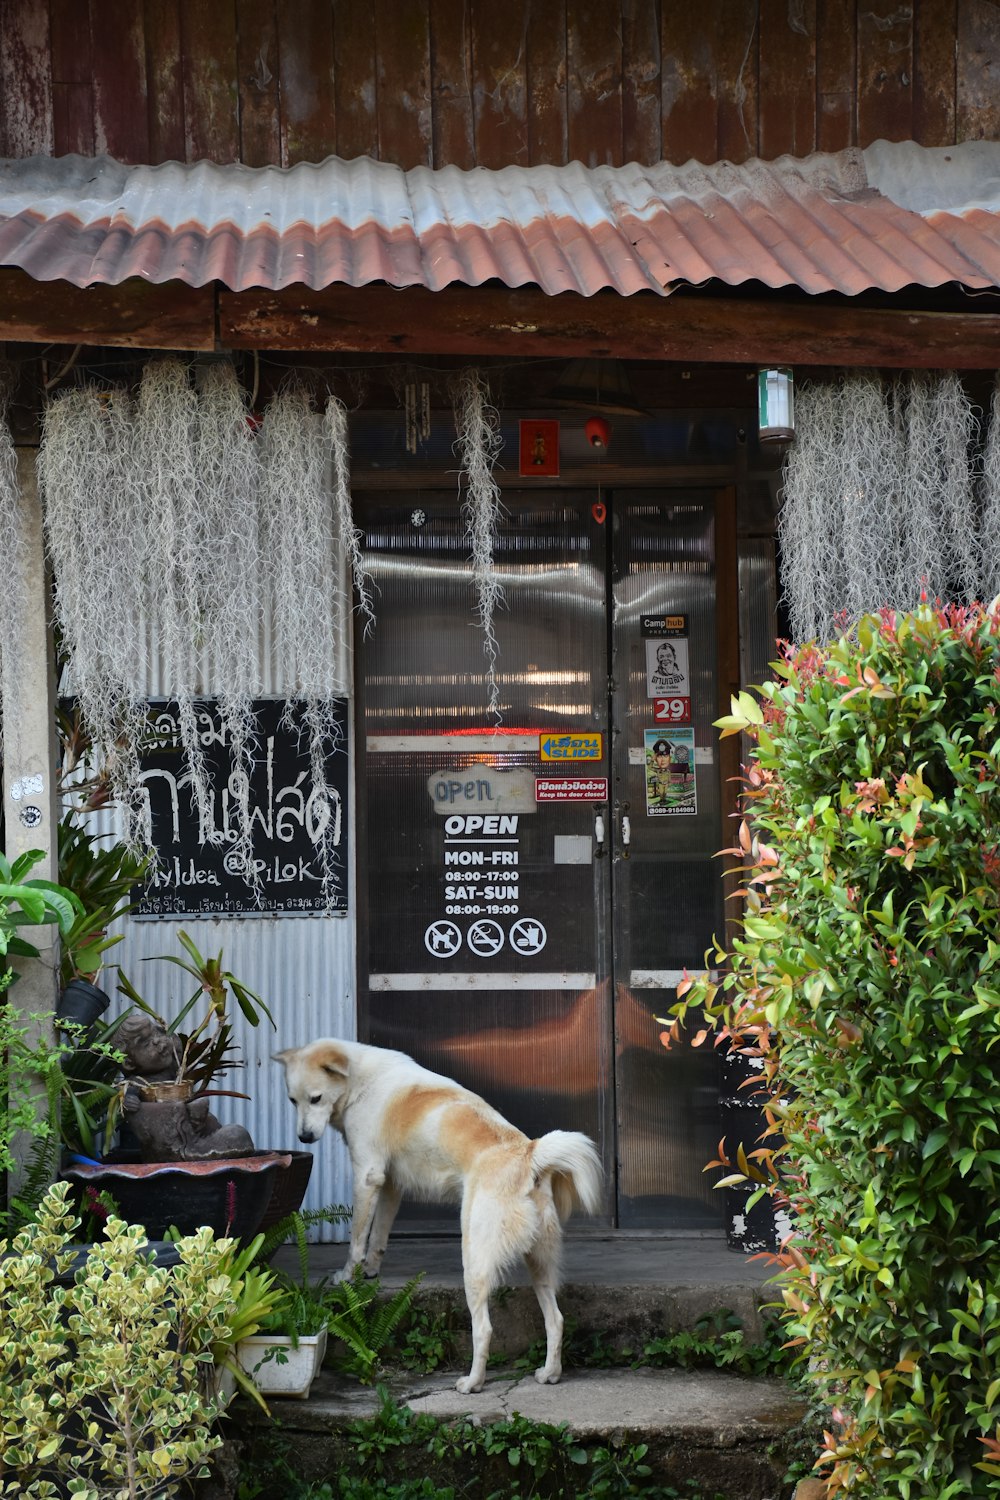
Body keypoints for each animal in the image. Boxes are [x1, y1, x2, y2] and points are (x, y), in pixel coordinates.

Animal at [274, 1038, 602, 1386]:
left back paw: (472, 1383)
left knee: (484, 1329)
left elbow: (357, 1240)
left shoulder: (367, 1176)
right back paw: (550, 1372)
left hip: (475, 1261)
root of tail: (528, 1153)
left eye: (316, 1098)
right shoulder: (390, 1184)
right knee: (556, 1319)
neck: (360, 1081)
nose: (304, 1138)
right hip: (539, 1263)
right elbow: (378, 1238)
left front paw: (349, 1277)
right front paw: (371, 1272)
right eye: (292, 1100)